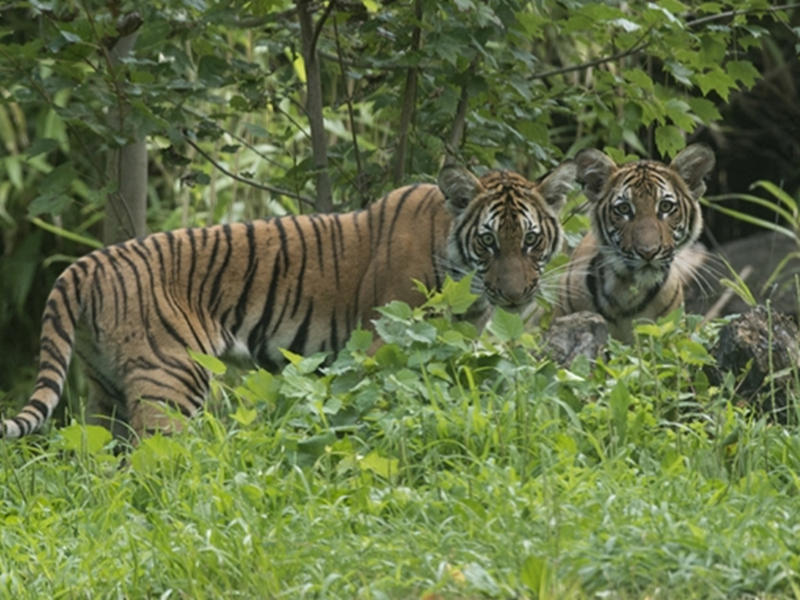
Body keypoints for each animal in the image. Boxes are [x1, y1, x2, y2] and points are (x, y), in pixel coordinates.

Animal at [0, 163, 576, 440]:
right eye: (488, 242)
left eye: (530, 240)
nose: (515, 293)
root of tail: (86, 263)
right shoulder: (384, 341)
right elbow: (385, 397)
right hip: (171, 379)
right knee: (154, 455)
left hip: (107, 391)